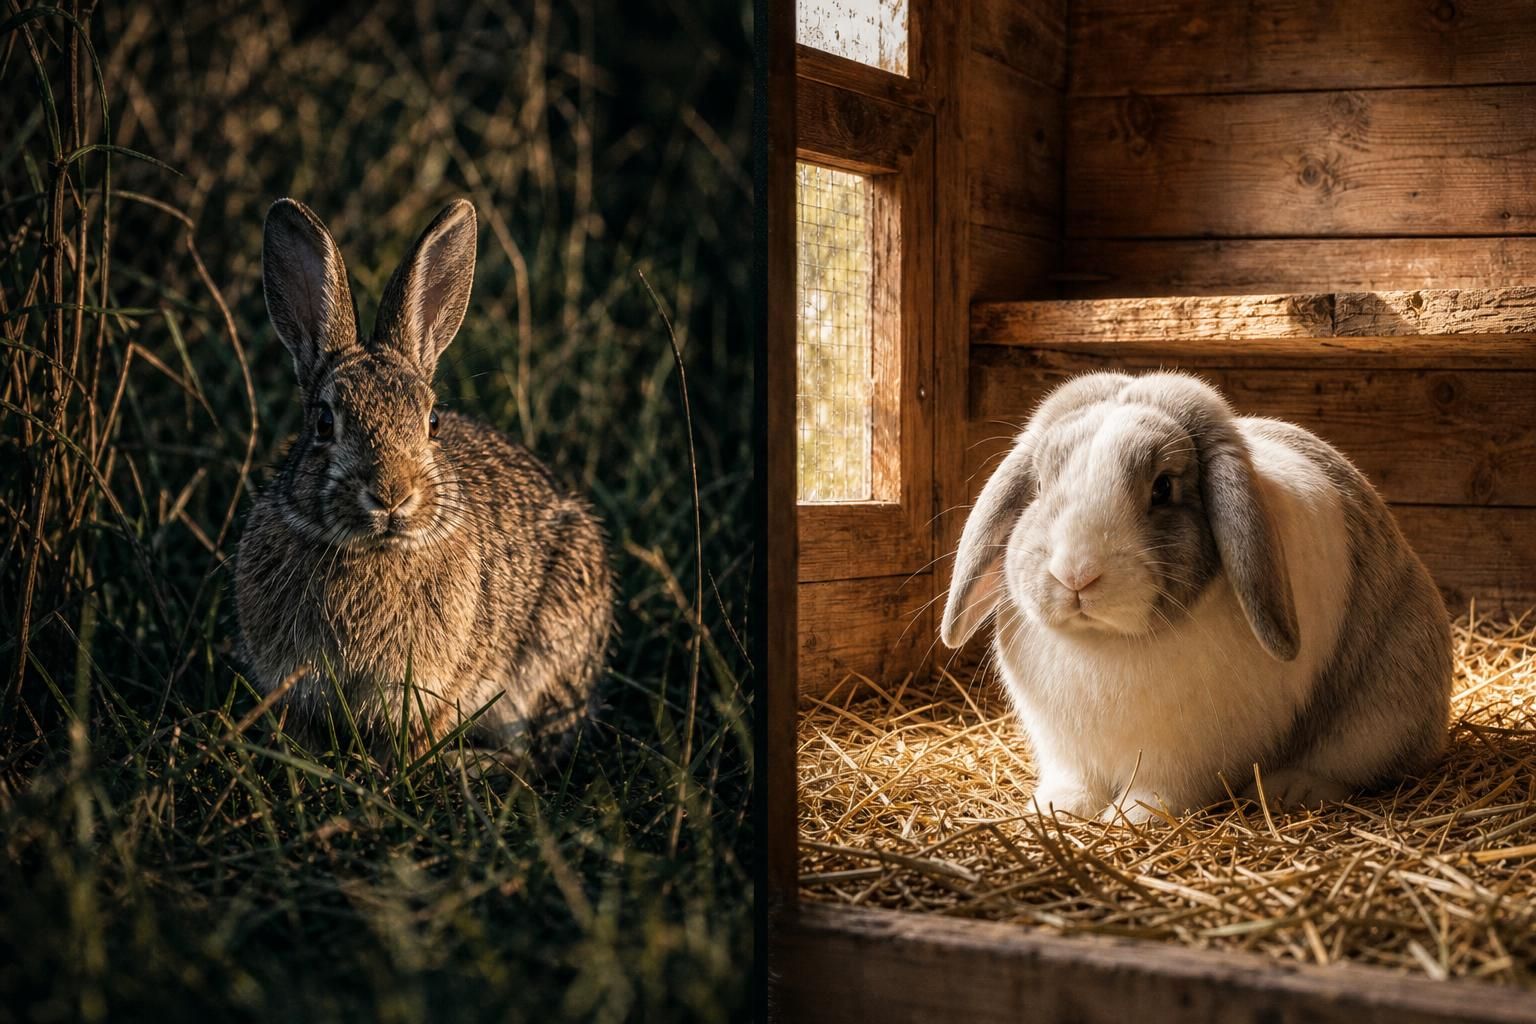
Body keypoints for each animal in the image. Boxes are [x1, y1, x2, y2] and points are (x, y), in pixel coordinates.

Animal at [941, 371, 1452, 823]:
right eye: (1040, 485)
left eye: (1163, 487)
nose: (1076, 574)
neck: (1105, 642)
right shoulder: (1066, 751)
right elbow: (1075, 783)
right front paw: (1055, 809)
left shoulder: (1181, 757)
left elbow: (1161, 790)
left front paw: (1130, 817)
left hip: (1382, 711)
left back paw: (1292, 790)